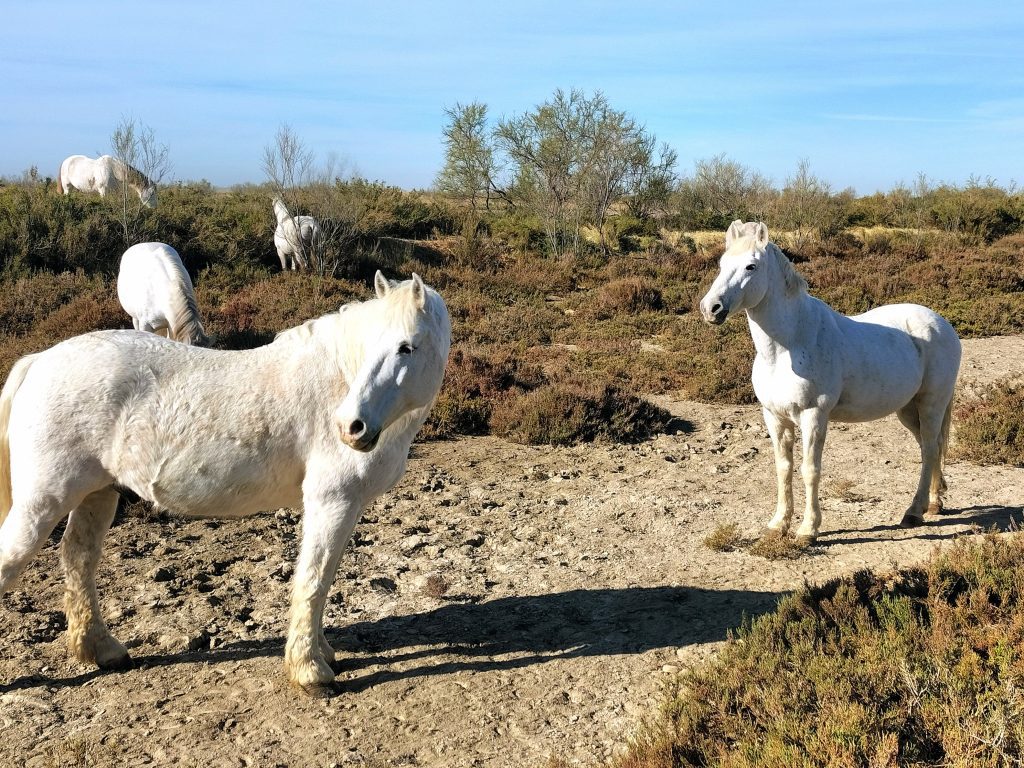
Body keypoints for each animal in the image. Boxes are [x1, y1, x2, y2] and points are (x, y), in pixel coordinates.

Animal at [0, 274, 452, 700]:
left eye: (406, 347)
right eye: (374, 343)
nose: (350, 427)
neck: (334, 384)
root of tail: (39, 362)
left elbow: (322, 579)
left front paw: (321, 653)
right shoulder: (333, 500)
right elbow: (314, 579)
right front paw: (310, 672)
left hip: (98, 493)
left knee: (79, 558)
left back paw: (103, 650)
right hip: (43, 501)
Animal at [700, 219, 962, 544]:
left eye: (751, 266)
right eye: (722, 264)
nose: (711, 308)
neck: (787, 347)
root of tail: (941, 324)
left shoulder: (813, 416)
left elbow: (810, 469)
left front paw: (807, 529)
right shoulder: (774, 417)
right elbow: (783, 469)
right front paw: (778, 524)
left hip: (931, 404)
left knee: (928, 448)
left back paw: (914, 512)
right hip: (907, 410)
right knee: (932, 447)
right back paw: (935, 502)